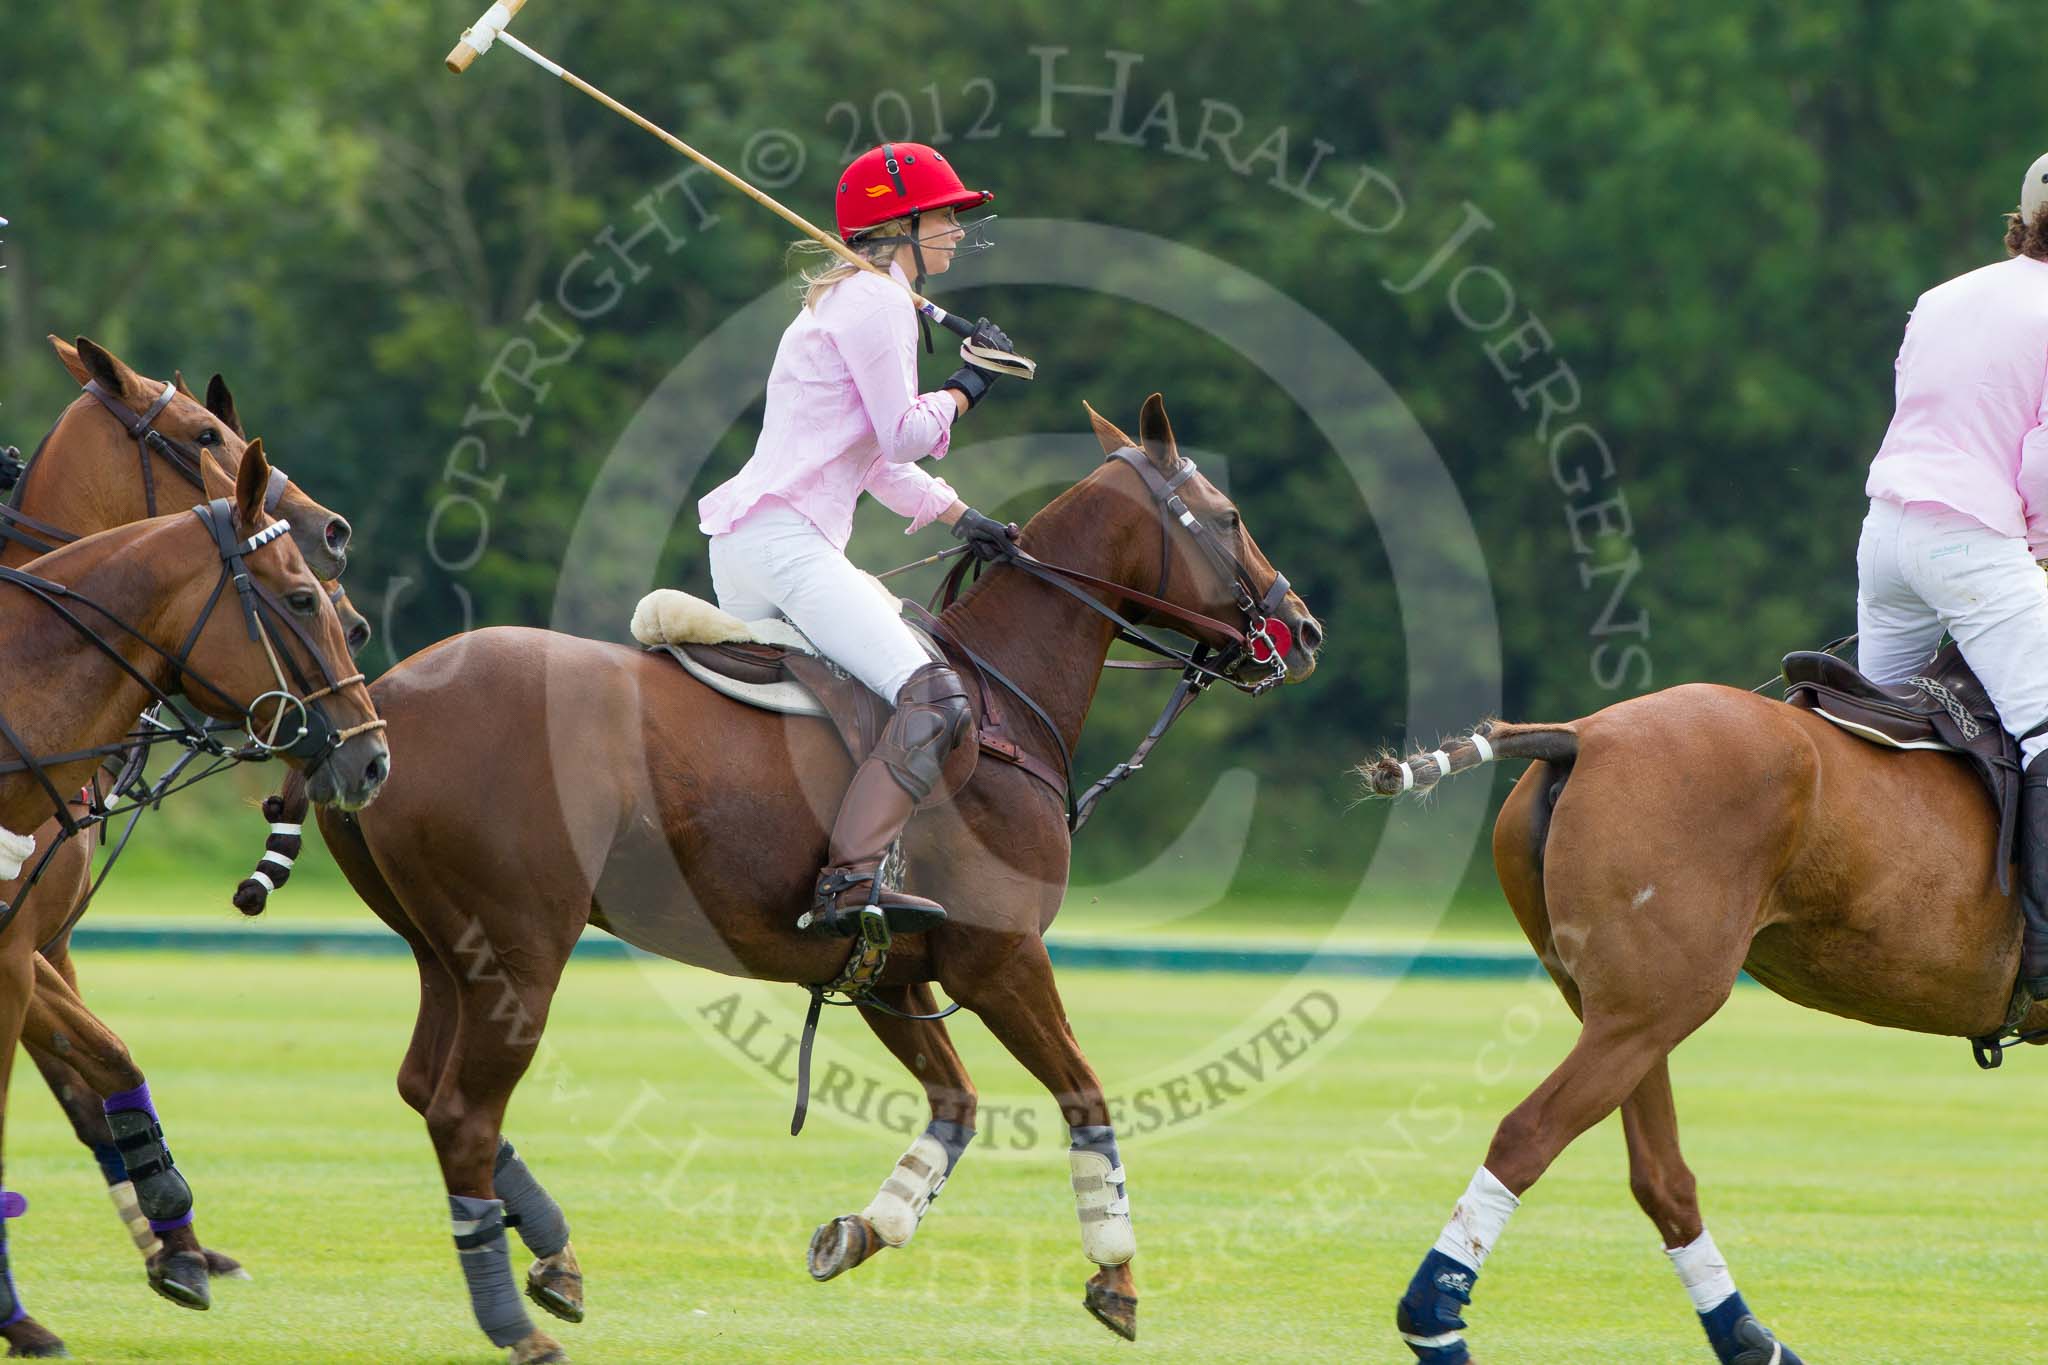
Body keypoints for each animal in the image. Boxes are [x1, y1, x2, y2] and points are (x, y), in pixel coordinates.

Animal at [2, 333, 368, 1309]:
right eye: (204, 433)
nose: (334, 534)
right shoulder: (21, 943)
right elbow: (91, 1066)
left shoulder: (43, 938)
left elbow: (98, 1078)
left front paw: (182, 1245)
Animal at [276, 394, 1310, 1365]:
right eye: (1225, 516)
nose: (1300, 627)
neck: (1003, 701)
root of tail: (380, 706)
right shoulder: (1001, 956)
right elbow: (1085, 1093)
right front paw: (1116, 1275)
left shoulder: (891, 971)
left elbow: (956, 1103)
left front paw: (859, 1230)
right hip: (521, 944)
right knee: (462, 1110)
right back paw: (520, 1318)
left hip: (441, 945)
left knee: (425, 1085)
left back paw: (553, 1257)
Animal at [1351, 683, 2048, 1365]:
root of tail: (1585, 733)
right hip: (1655, 1008)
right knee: (1531, 1133)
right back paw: (1433, 1321)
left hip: (1628, 1013)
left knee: (1659, 1176)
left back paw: (1749, 1340)